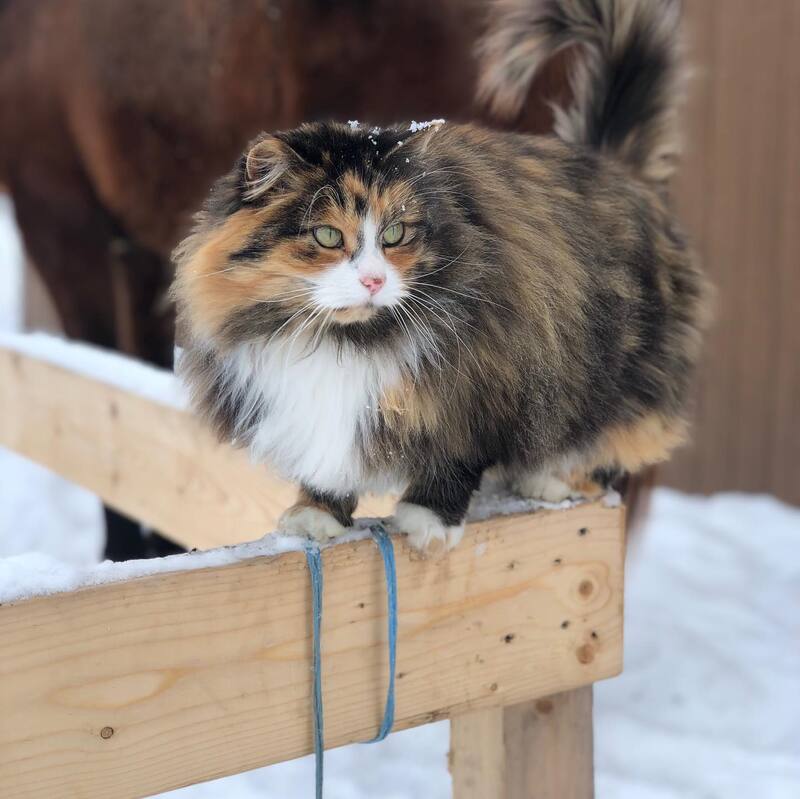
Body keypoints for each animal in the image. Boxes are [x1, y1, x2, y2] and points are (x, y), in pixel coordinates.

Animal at [172, 0, 708, 552]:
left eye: (394, 234)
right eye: (326, 236)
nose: (373, 281)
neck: (344, 341)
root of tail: (614, 166)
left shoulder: (478, 387)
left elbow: (455, 461)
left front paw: (427, 522)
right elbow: (329, 468)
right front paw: (316, 515)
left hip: (615, 374)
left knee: (603, 442)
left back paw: (552, 480)